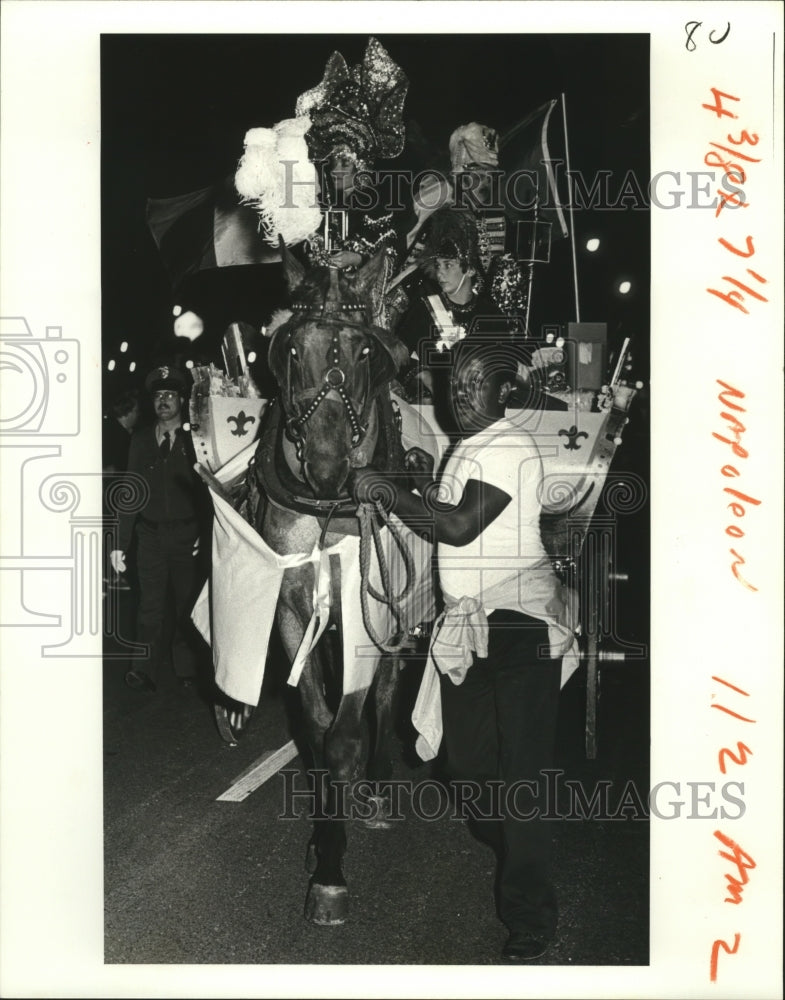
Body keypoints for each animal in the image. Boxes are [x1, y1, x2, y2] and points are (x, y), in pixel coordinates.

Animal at [247, 246, 422, 924]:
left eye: (367, 351)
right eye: (292, 349)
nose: (325, 467)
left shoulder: (367, 612)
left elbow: (346, 733)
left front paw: (334, 858)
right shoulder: (292, 614)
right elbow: (318, 729)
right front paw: (325, 849)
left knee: (388, 693)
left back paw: (378, 786)